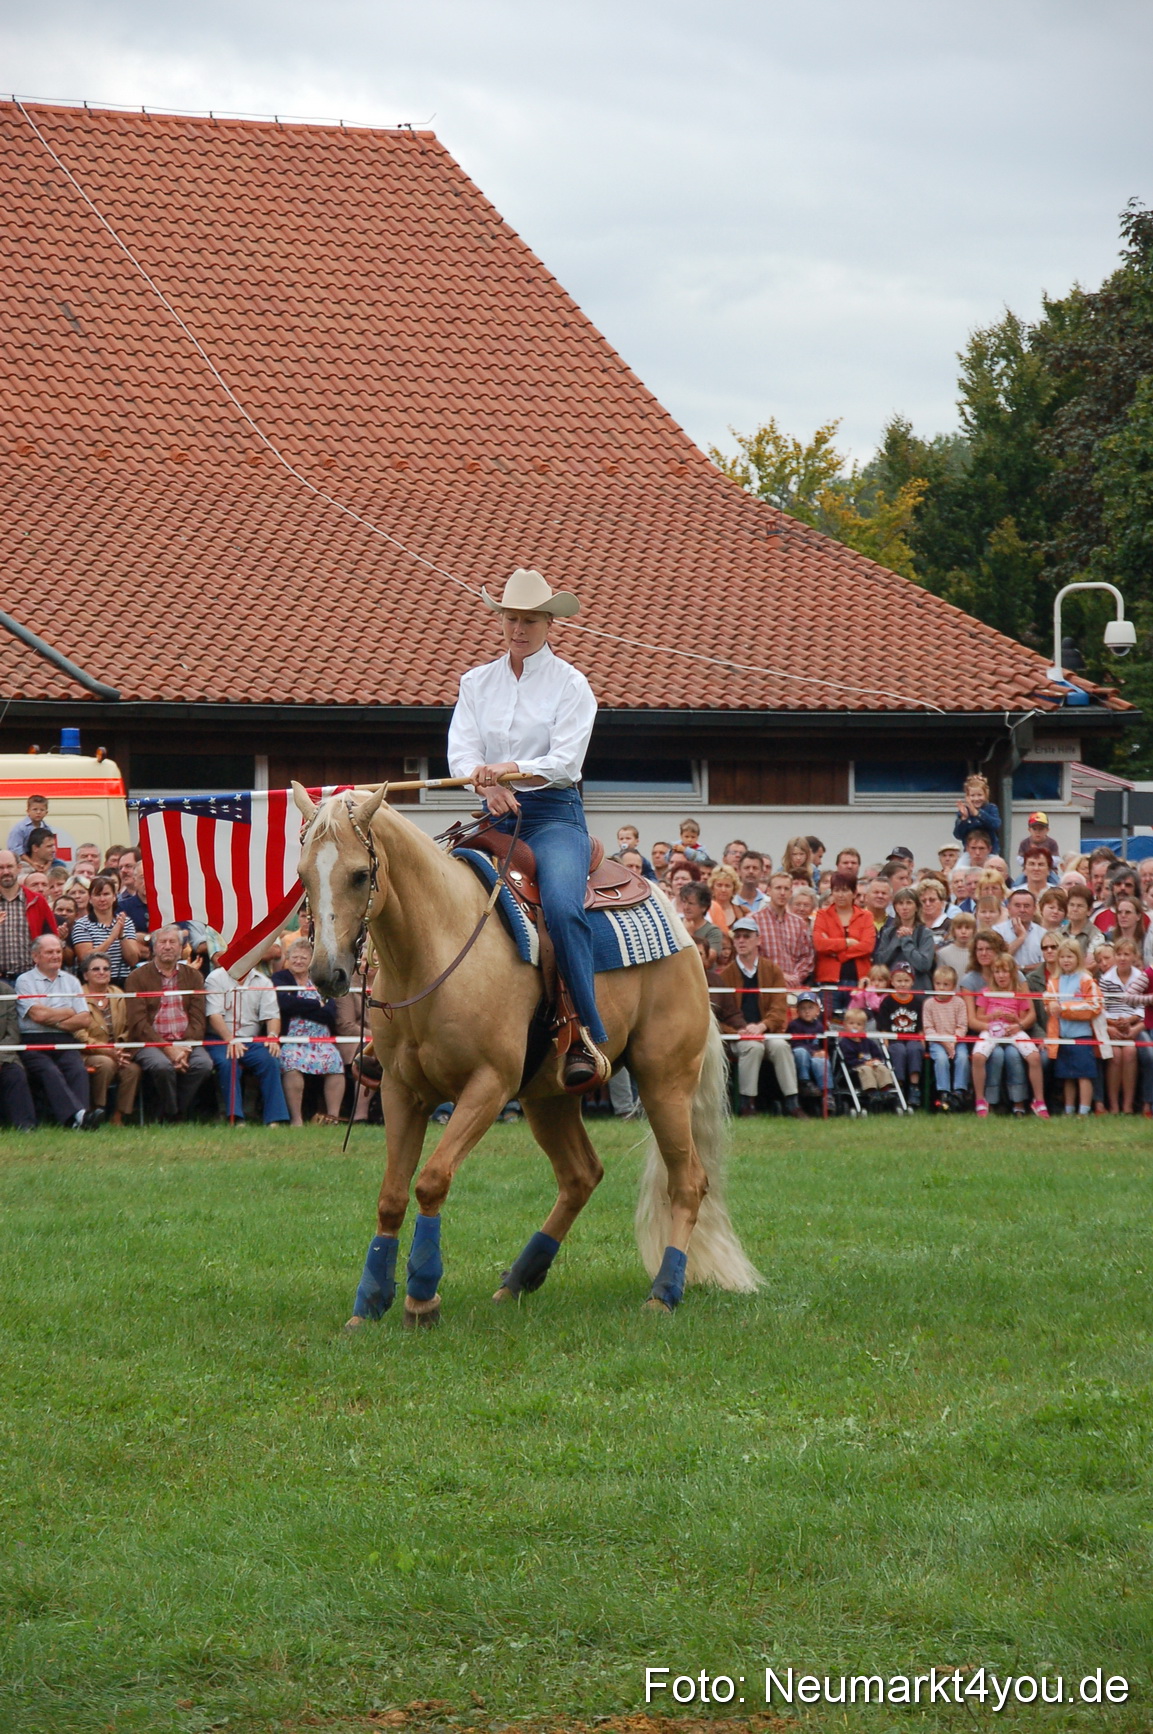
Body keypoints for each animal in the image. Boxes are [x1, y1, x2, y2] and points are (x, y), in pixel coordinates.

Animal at [293, 783, 761, 1327]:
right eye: (303, 874)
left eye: (359, 874)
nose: (327, 974)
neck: (437, 947)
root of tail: (684, 939)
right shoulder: (400, 1090)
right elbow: (391, 1196)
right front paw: (369, 1303)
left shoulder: (488, 1087)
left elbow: (431, 1181)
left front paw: (422, 1297)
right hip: (549, 1098)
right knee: (581, 1175)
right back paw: (519, 1279)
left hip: (664, 1081)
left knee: (687, 1181)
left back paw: (664, 1291)